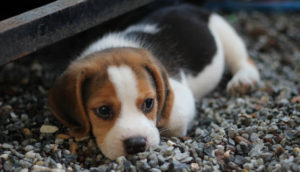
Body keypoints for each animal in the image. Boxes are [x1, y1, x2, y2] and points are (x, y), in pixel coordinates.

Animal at [48, 4, 258, 160]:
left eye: (149, 103)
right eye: (103, 110)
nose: (136, 144)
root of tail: (187, 6)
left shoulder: (180, 98)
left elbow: (170, 121)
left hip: (223, 30)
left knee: (242, 58)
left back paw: (244, 79)